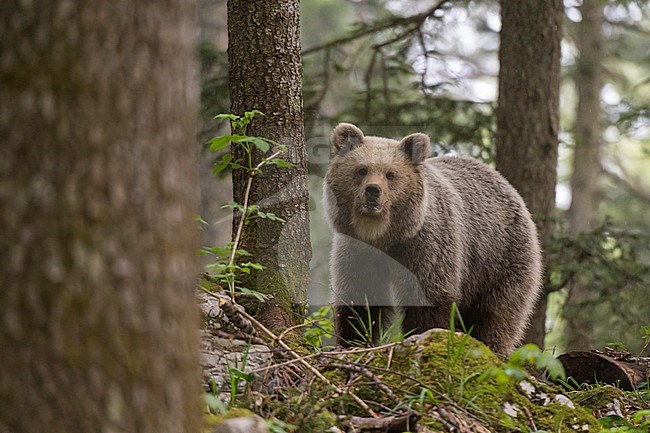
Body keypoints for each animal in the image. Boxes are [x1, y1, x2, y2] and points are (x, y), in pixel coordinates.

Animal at [322, 122, 540, 354]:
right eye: (362, 169)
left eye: (391, 174)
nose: (373, 190)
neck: (384, 236)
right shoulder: (357, 250)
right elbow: (359, 296)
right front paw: (352, 341)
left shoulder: (427, 244)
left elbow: (429, 296)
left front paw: (422, 335)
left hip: (501, 254)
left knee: (498, 310)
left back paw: (491, 344)